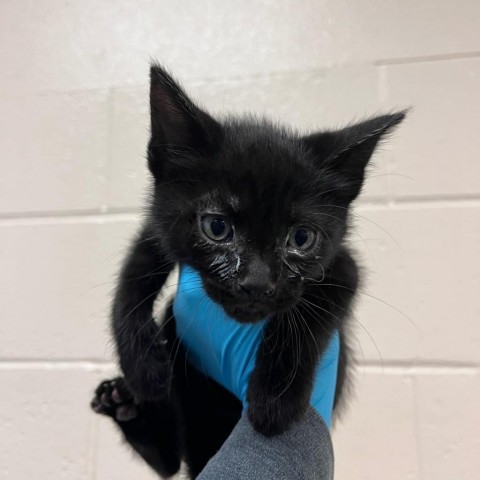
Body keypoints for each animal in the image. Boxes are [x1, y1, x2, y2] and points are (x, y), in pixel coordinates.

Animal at [91, 65, 404, 478]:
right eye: (217, 227)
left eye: (301, 238)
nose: (256, 282)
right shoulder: (157, 230)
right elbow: (131, 278)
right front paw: (142, 365)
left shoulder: (343, 265)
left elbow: (310, 313)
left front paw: (276, 398)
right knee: (169, 461)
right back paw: (126, 404)